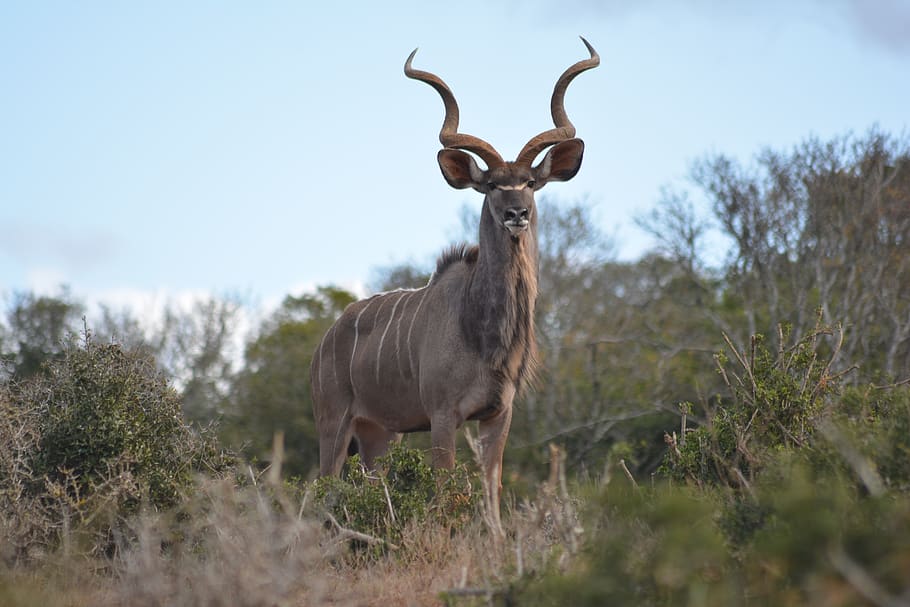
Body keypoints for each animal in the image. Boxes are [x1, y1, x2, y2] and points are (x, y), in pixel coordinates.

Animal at [311, 38, 598, 516]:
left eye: (530, 183)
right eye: (492, 185)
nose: (516, 214)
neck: (480, 331)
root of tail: (324, 341)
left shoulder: (498, 414)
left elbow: (491, 489)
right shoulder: (443, 415)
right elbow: (445, 491)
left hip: (379, 435)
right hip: (334, 424)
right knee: (320, 491)